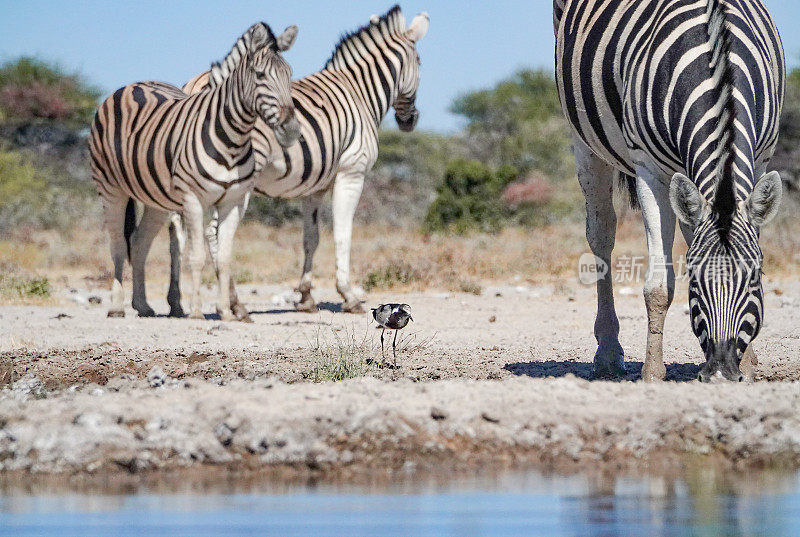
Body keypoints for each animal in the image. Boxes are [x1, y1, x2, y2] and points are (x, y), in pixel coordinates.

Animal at [88, 22, 300, 318]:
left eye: (289, 74)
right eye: (260, 75)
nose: (291, 130)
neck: (233, 138)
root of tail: (130, 86)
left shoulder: (233, 202)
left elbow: (224, 259)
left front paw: (225, 312)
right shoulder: (192, 200)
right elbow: (196, 257)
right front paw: (198, 310)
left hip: (156, 199)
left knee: (139, 242)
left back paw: (142, 305)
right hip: (110, 188)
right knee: (119, 244)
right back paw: (117, 307)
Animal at [158, 7, 432, 318]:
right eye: (419, 62)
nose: (410, 121)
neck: (360, 92)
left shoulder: (314, 187)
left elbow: (311, 238)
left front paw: (305, 297)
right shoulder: (352, 173)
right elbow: (343, 234)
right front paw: (348, 296)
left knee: (177, 233)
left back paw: (177, 303)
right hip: (234, 182)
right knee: (214, 235)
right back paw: (234, 303)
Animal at [552, 0, 784, 382]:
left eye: (755, 279)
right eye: (695, 281)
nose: (722, 373)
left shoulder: (761, 158)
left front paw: (749, 366)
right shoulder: (649, 170)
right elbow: (658, 287)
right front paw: (652, 372)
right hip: (584, 143)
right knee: (601, 233)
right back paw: (608, 353)